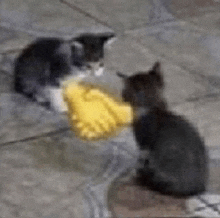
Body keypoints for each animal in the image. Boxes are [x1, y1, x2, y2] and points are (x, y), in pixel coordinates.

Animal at [117, 62, 208, 197]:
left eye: (124, 93)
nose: (122, 99)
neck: (155, 109)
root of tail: (195, 189)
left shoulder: (144, 144)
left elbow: (141, 158)